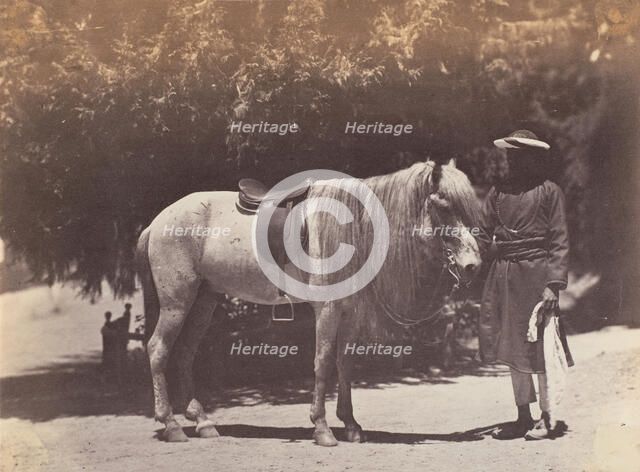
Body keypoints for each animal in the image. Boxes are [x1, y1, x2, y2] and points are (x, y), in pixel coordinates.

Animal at [136, 160, 482, 445]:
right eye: (444, 206)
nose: (472, 265)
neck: (353, 230)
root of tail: (159, 221)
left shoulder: (349, 312)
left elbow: (345, 363)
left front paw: (351, 425)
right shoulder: (327, 309)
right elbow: (322, 362)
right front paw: (322, 428)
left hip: (204, 301)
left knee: (184, 353)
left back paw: (203, 422)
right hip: (177, 302)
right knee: (158, 349)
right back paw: (171, 425)